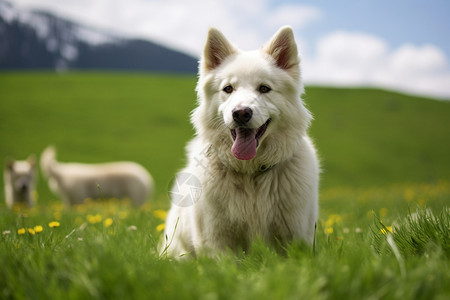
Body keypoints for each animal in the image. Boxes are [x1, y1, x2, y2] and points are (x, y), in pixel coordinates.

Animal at [163, 26, 318, 258]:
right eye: (228, 89)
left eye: (264, 88)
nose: (241, 113)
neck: (250, 173)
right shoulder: (217, 240)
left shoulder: (294, 238)